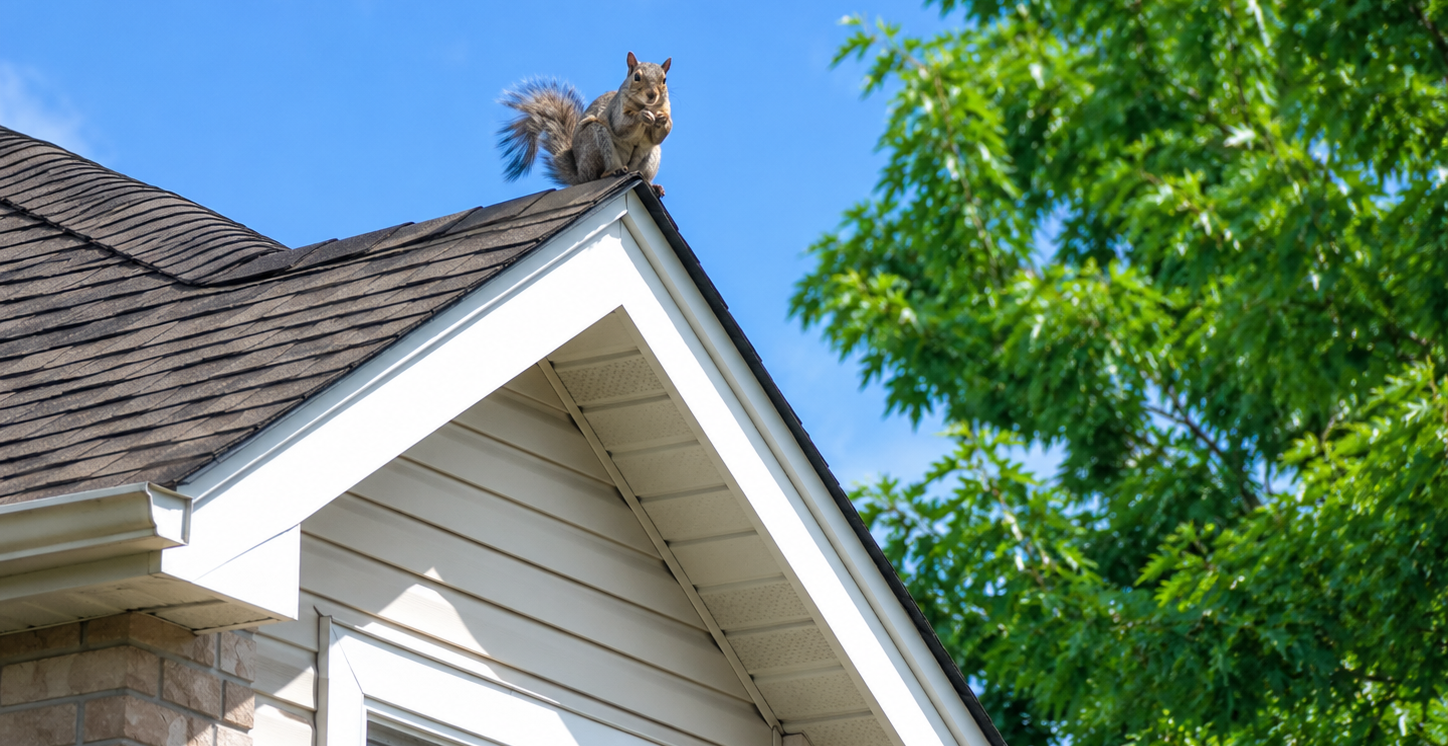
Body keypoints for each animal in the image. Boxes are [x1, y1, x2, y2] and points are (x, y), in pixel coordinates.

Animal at [498, 52, 672, 197]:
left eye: (664, 80)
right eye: (637, 77)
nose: (652, 95)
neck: (646, 105)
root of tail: (580, 176)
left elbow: (658, 137)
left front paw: (664, 120)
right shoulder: (615, 111)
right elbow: (621, 126)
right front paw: (642, 115)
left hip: (649, 156)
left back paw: (653, 186)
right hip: (594, 141)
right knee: (598, 174)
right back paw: (613, 171)